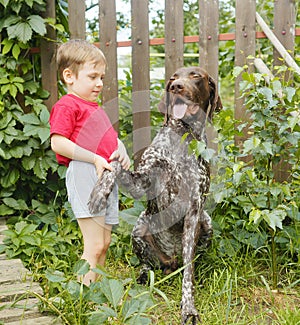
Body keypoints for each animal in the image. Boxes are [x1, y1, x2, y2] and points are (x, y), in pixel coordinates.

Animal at [88, 67, 221, 322]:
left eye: (195, 76)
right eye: (173, 78)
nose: (176, 87)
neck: (183, 137)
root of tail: (171, 260)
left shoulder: (194, 208)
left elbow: (188, 276)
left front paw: (188, 307)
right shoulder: (142, 181)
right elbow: (114, 165)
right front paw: (98, 194)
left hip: (207, 224)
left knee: (189, 262)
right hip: (139, 228)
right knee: (148, 264)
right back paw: (142, 275)